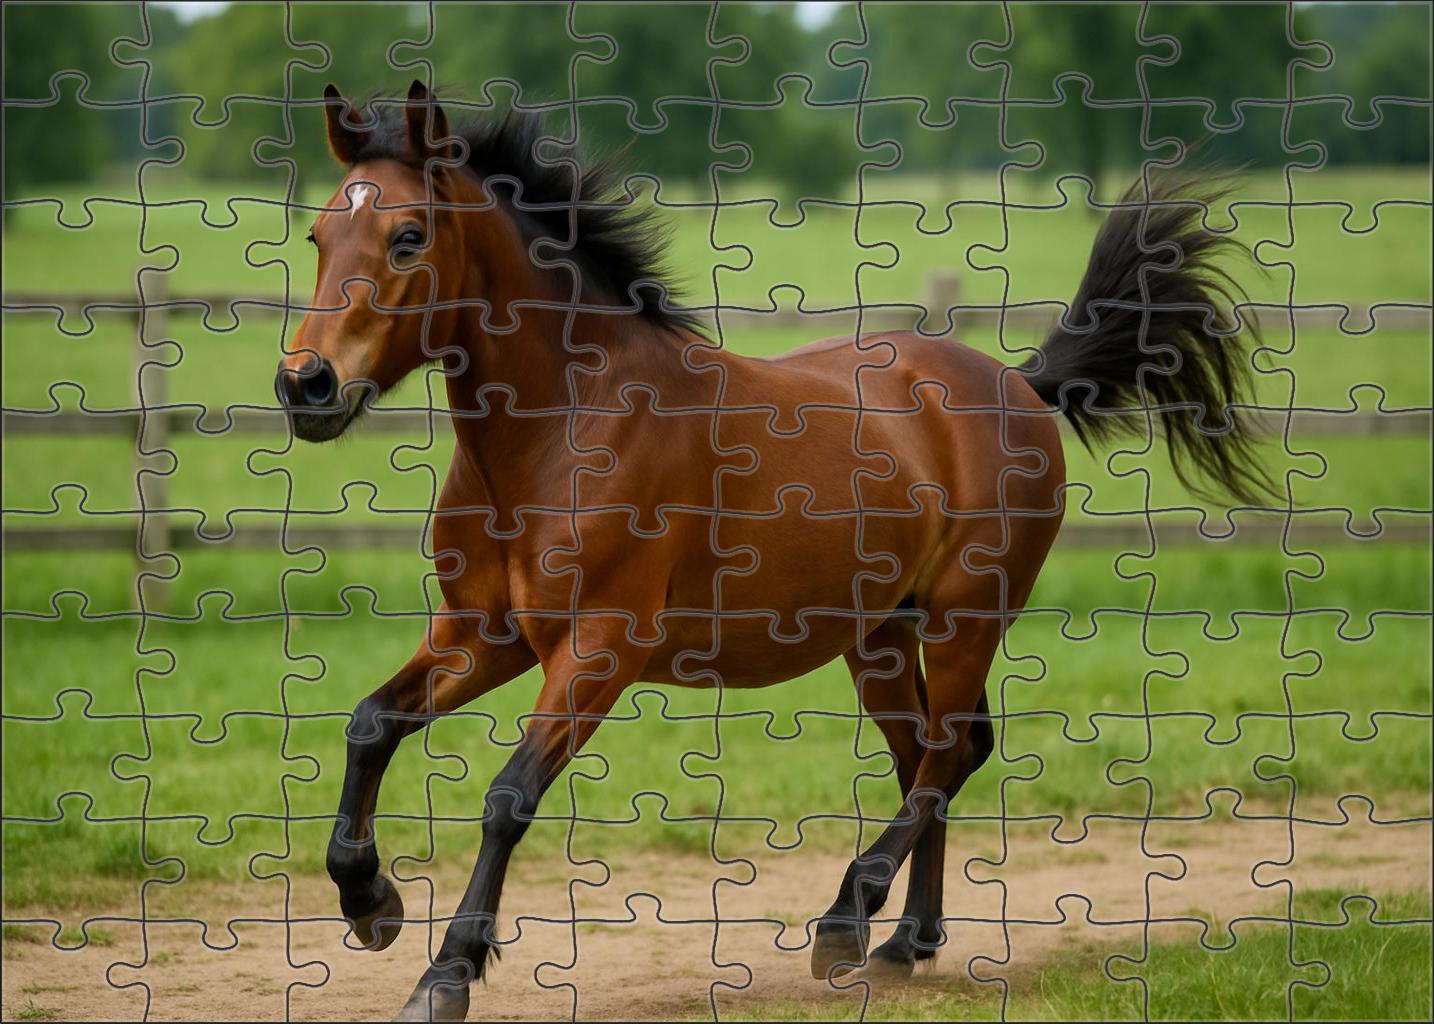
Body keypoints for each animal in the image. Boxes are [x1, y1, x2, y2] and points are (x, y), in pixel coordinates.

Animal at [276, 82, 1269, 1021]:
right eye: (321, 234)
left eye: (408, 237)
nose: (305, 387)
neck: (566, 424)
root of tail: (1019, 384)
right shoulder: (488, 633)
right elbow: (371, 723)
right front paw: (369, 901)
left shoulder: (598, 649)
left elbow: (509, 796)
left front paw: (445, 975)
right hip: (879, 638)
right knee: (933, 757)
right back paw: (905, 941)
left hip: (963, 621)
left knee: (949, 754)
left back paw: (848, 920)